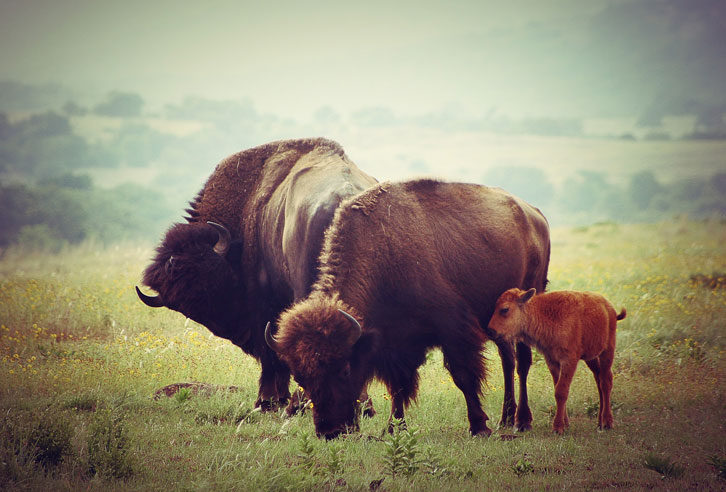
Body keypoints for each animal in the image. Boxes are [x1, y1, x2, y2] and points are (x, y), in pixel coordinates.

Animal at [135, 137, 382, 412]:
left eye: (212, 288)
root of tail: (346, 197)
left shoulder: (263, 304)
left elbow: (271, 351)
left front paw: (267, 400)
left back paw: (302, 403)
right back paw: (360, 404)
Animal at [268, 180, 552, 438]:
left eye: (344, 369)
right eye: (300, 378)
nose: (330, 431)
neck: (382, 252)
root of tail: (536, 215)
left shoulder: (452, 329)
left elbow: (462, 376)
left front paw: (479, 426)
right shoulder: (396, 343)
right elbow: (399, 386)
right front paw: (394, 428)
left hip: (527, 302)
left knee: (522, 361)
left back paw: (521, 421)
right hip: (497, 322)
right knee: (507, 359)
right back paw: (506, 418)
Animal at [492, 288, 628, 434]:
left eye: (504, 309)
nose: (490, 330)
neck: (545, 314)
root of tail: (609, 308)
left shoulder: (569, 360)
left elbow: (561, 391)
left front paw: (557, 428)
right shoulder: (552, 361)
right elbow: (557, 387)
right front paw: (565, 424)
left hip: (607, 350)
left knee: (606, 381)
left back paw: (607, 422)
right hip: (591, 358)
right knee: (599, 379)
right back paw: (599, 422)